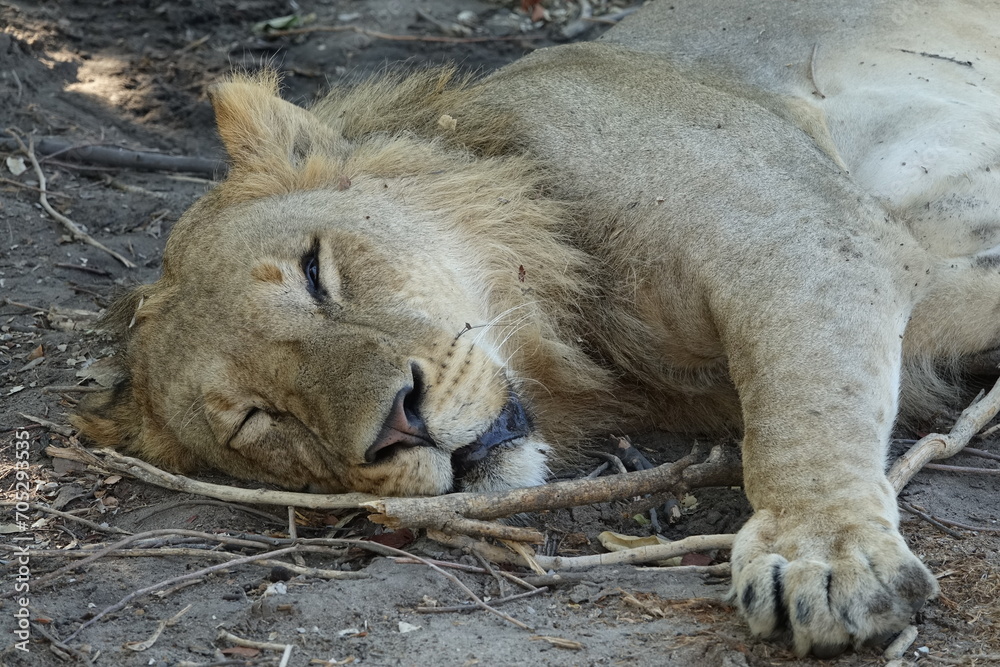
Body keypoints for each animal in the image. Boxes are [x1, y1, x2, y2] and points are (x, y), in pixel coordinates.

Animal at [72, 0, 1000, 658]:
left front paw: (825, 558)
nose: (397, 424)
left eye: (314, 272)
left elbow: (805, 407)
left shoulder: (805, 232)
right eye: (259, 420)